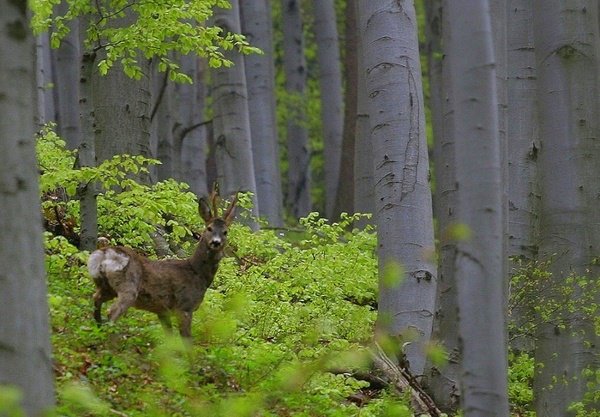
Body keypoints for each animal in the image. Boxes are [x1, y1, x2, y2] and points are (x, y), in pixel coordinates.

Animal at [86, 190, 237, 336]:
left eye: (225, 232)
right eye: (209, 228)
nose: (216, 242)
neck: (197, 272)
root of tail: (103, 253)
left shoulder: (162, 311)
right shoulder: (184, 306)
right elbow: (186, 340)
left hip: (106, 287)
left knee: (96, 299)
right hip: (128, 286)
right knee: (112, 312)